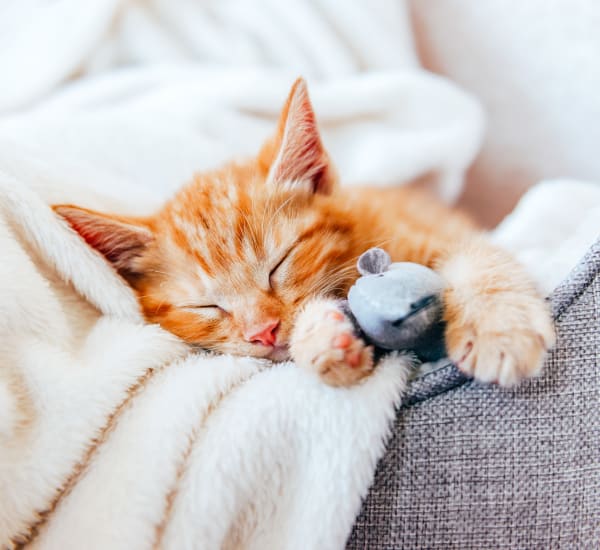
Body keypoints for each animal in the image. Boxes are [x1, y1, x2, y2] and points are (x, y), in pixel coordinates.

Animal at [54, 78, 556, 388]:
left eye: (279, 264)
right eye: (205, 306)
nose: (263, 333)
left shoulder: (443, 234)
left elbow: (480, 261)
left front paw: (499, 329)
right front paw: (324, 341)